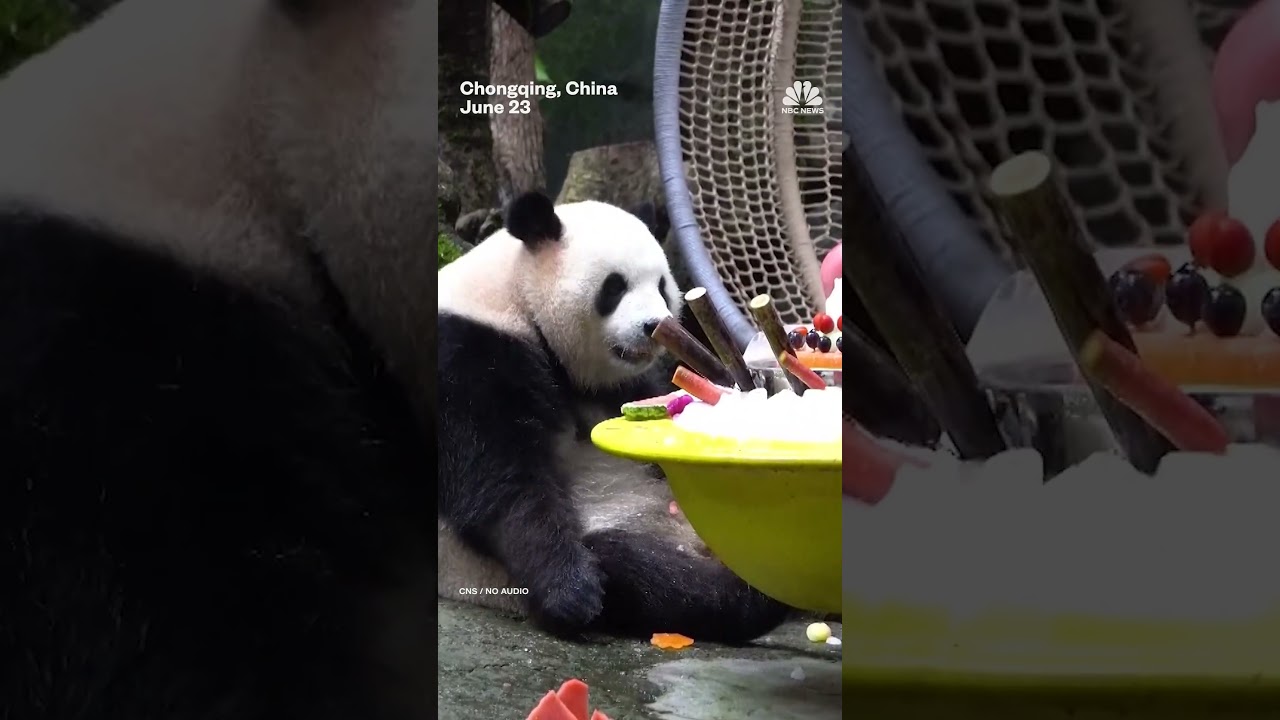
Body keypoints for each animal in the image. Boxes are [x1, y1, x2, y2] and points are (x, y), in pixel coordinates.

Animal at [437, 191, 790, 642]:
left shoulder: (614, 385)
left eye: (662, 286)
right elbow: (500, 480)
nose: (655, 325)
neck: (515, 294)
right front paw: (569, 592)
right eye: (615, 286)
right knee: (641, 571)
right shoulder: (467, 354)